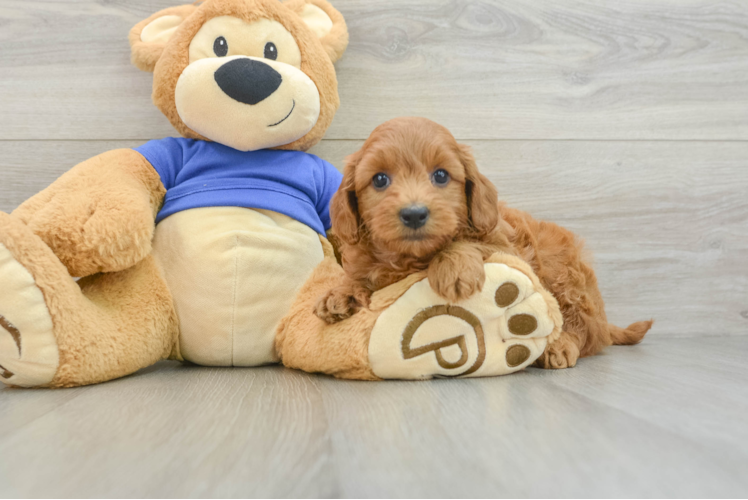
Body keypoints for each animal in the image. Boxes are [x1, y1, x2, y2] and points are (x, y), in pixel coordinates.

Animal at [318, 117, 652, 368]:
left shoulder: (505, 247)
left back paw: (559, 347)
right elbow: (360, 275)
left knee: (582, 329)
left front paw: (453, 269)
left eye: (441, 175)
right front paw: (341, 292)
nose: (414, 214)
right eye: (379, 180)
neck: (412, 258)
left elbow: (468, 243)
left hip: (563, 273)